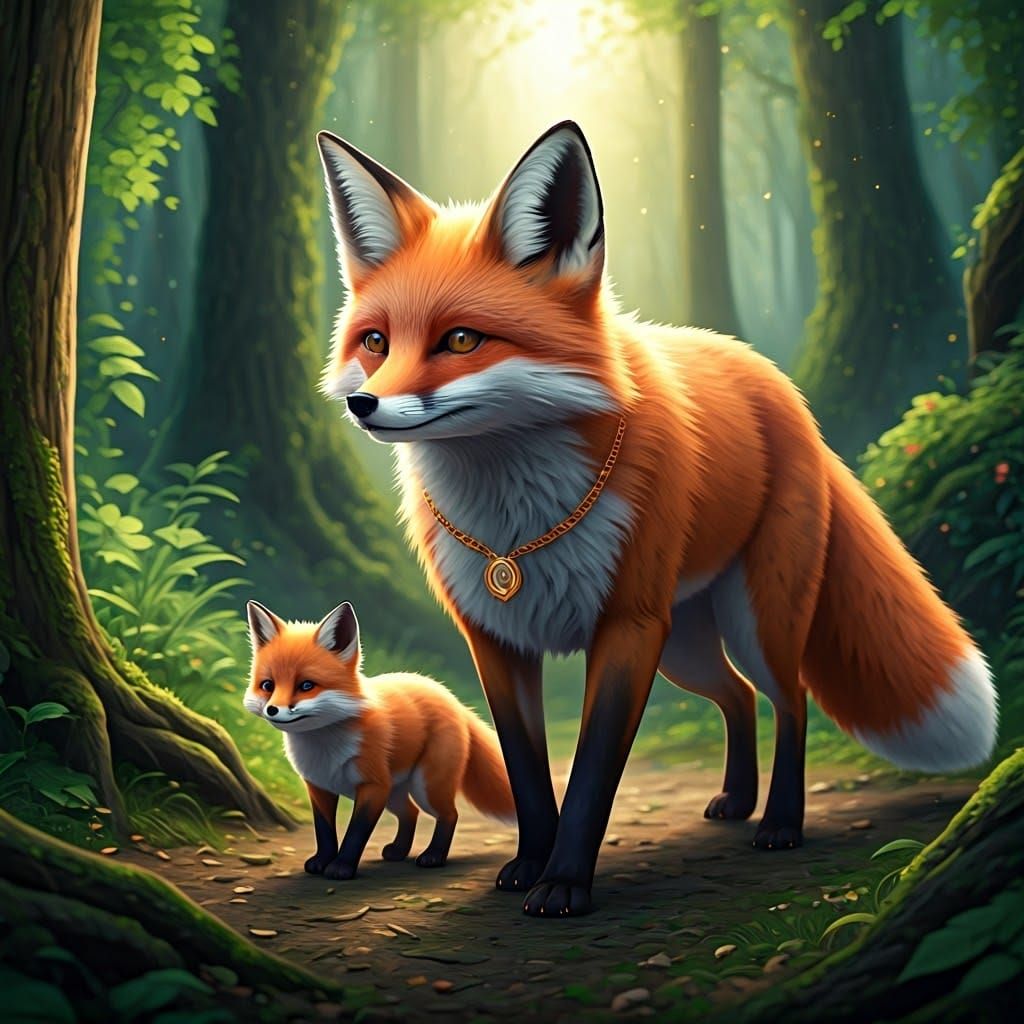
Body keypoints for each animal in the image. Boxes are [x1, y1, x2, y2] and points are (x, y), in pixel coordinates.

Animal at [243, 600, 515, 879]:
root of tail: (452, 698)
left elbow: (356, 833)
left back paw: (434, 856)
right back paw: (399, 851)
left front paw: (341, 867)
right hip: (396, 793)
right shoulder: (319, 787)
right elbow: (325, 831)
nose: (272, 710)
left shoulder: (373, 786)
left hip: (425, 787)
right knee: (411, 812)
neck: (325, 750)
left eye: (306, 685)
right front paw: (322, 861)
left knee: (449, 814)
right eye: (268, 685)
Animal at [313, 120, 998, 916]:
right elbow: (529, 774)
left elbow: (590, 775)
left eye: (460, 340)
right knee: (738, 696)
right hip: (688, 647)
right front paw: (529, 864)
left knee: (790, 699)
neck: (517, 525)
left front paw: (563, 884)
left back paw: (780, 822)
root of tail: (776, 382)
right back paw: (736, 800)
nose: (363, 406)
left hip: (752, 621)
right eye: (376, 342)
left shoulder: (628, 628)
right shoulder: (497, 640)